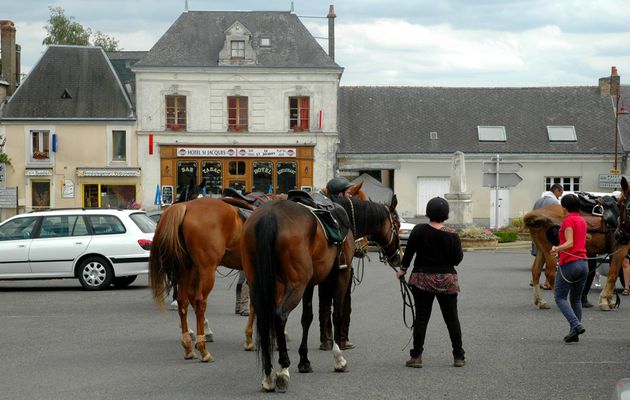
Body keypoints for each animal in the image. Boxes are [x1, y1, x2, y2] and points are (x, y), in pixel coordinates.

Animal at [149, 181, 368, 362]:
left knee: (184, 301)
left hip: (188, 267)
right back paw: (203, 348)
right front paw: (270, 337)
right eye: (362, 200)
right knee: (199, 301)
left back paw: (188, 345)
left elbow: (257, 303)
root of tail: (186, 207)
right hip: (206, 269)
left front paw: (253, 338)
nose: (364, 245)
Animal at [239, 195, 402, 392]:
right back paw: (283, 369)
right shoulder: (340, 275)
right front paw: (339, 359)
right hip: (295, 285)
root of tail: (270, 216)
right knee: (279, 316)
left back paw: (268, 375)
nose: (398, 256)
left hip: (260, 285)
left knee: (264, 319)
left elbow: (307, 318)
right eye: (397, 224)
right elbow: (337, 314)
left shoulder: (309, 285)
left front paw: (304, 361)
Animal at [524, 177, 630, 310]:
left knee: (536, 271)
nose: (622, 234)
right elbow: (613, 274)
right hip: (551, 251)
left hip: (541, 250)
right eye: (626, 204)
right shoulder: (621, 249)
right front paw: (605, 301)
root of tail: (537, 214)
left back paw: (541, 301)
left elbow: (612, 273)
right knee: (550, 273)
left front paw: (610, 300)